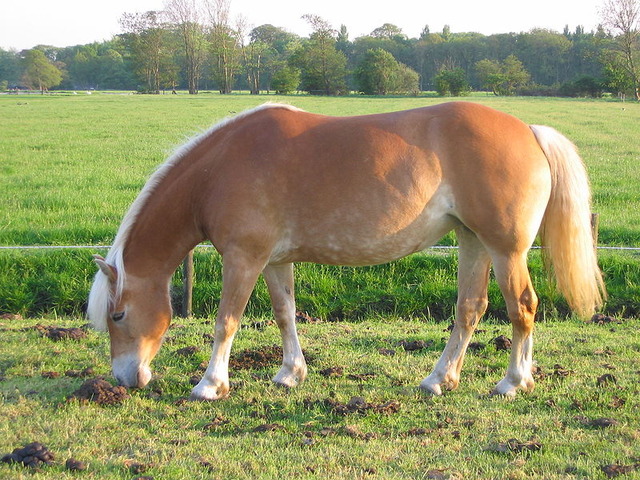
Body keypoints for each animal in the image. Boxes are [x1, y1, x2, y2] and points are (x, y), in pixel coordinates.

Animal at [89, 102, 604, 402]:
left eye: (117, 315)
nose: (124, 379)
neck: (217, 170)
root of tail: (530, 130)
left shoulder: (243, 258)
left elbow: (226, 322)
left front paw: (210, 384)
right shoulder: (274, 261)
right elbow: (285, 314)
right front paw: (290, 374)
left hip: (504, 248)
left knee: (523, 307)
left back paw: (513, 382)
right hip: (473, 241)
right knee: (470, 309)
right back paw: (439, 379)